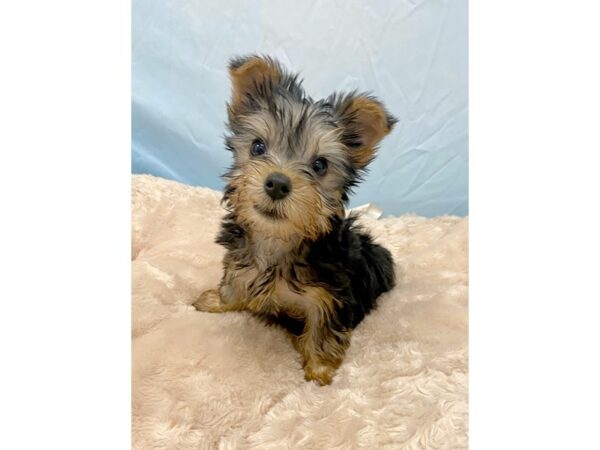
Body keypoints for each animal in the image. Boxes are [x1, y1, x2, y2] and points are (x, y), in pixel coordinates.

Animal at [195, 52, 396, 384]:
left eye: (320, 165)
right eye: (258, 146)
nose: (277, 183)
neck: (277, 240)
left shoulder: (330, 294)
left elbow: (323, 326)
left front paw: (320, 369)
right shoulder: (239, 260)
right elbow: (234, 282)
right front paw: (218, 301)